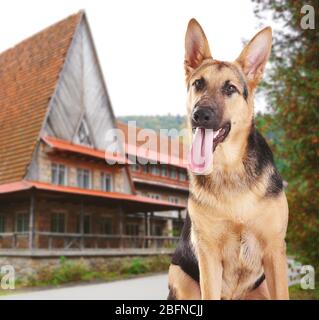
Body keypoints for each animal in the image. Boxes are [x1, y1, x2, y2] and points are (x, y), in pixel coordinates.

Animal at [168, 19, 290, 300]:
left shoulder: (275, 252)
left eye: (230, 88)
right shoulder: (208, 257)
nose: (200, 115)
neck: (229, 169)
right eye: (198, 84)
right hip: (179, 274)